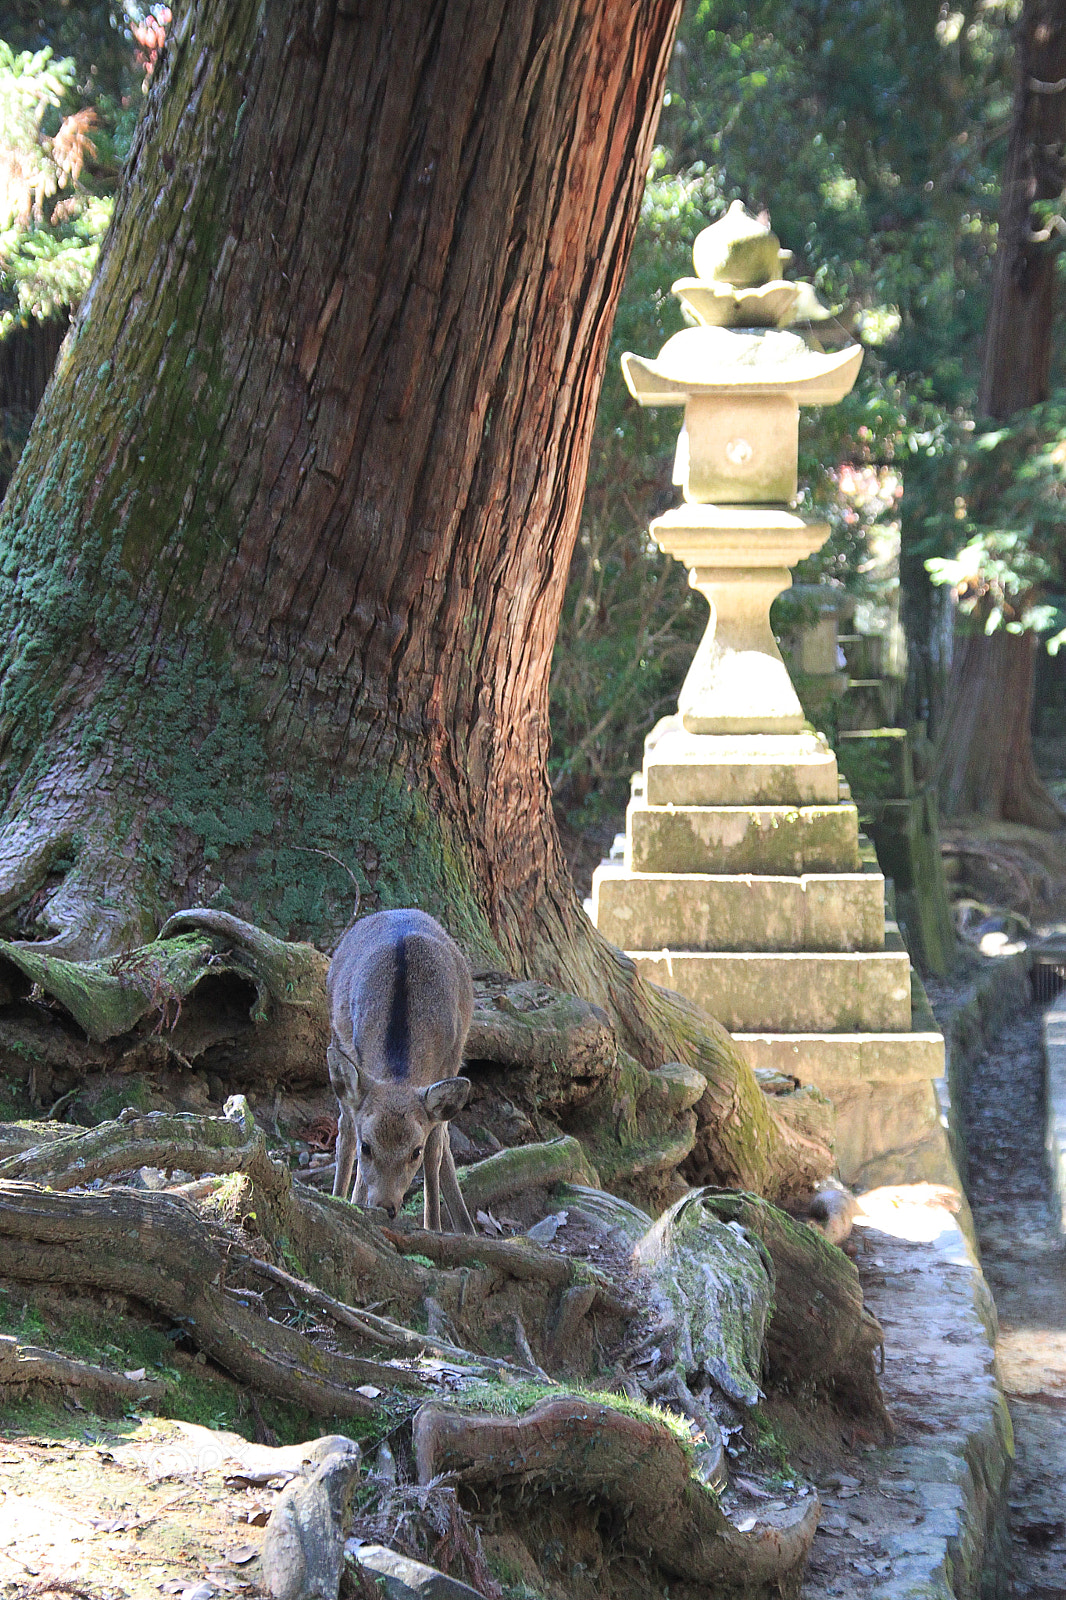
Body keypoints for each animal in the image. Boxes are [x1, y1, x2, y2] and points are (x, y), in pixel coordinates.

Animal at [326, 907, 476, 1234]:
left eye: (414, 1151)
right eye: (367, 1147)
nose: (385, 1207)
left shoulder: (448, 1063)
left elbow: (435, 1150)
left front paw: (433, 1228)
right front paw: (355, 1206)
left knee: (444, 1140)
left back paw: (466, 1227)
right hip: (335, 1033)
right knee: (344, 1130)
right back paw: (339, 1199)